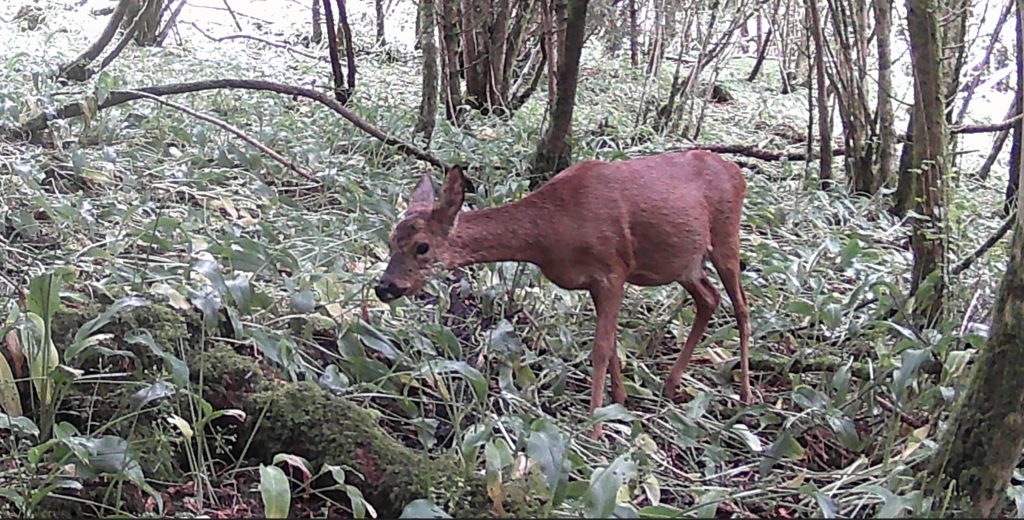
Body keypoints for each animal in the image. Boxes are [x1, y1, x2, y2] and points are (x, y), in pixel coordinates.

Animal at [374, 150, 751, 438]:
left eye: (422, 246)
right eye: (390, 241)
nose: (384, 286)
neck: (552, 232)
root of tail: (736, 172)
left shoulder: (612, 270)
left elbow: (600, 349)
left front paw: (595, 428)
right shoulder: (598, 282)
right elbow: (612, 345)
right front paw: (620, 401)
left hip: (726, 235)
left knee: (741, 307)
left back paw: (745, 395)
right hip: (685, 263)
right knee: (709, 298)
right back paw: (671, 385)